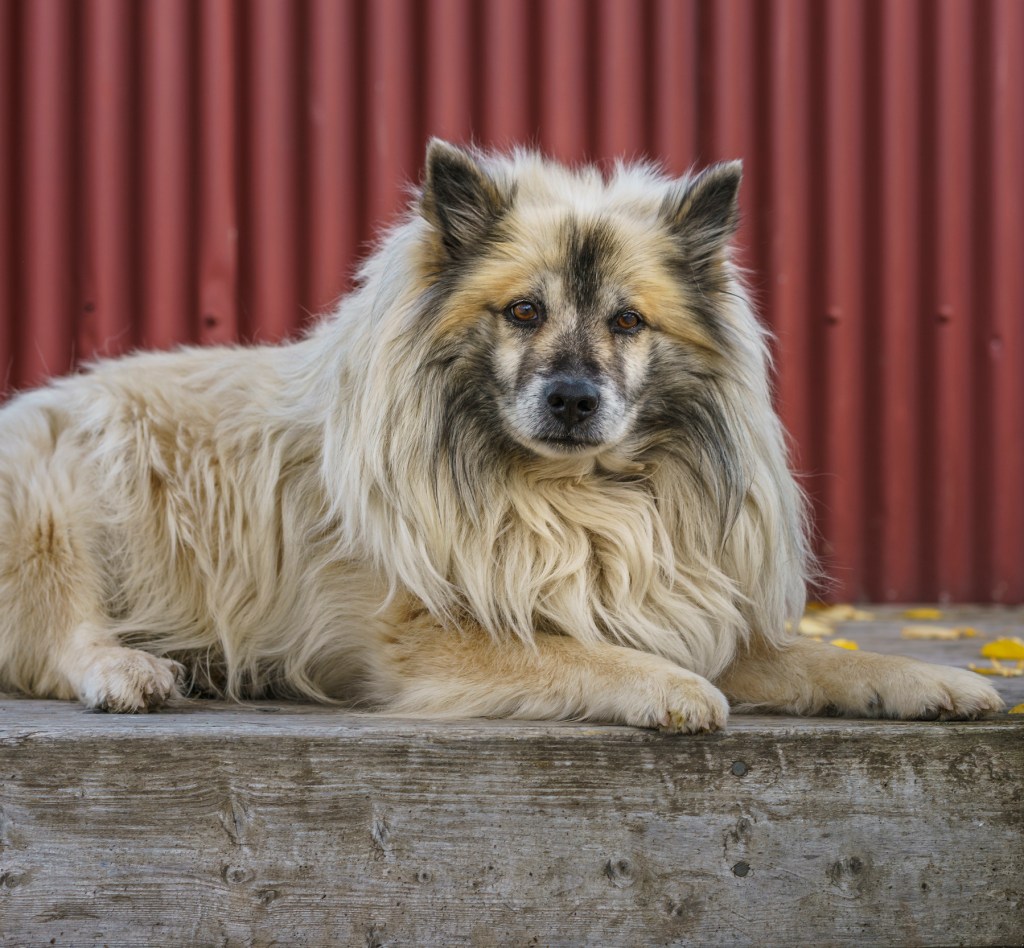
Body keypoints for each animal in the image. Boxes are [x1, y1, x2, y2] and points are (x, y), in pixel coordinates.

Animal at [0, 141, 999, 733]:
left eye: (628, 322)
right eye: (525, 311)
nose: (572, 399)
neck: (574, 492)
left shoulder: (680, 606)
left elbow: (807, 655)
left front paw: (928, 680)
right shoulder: (426, 638)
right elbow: (576, 652)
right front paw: (672, 689)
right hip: (54, 497)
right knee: (59, 640)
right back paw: (131, 669)